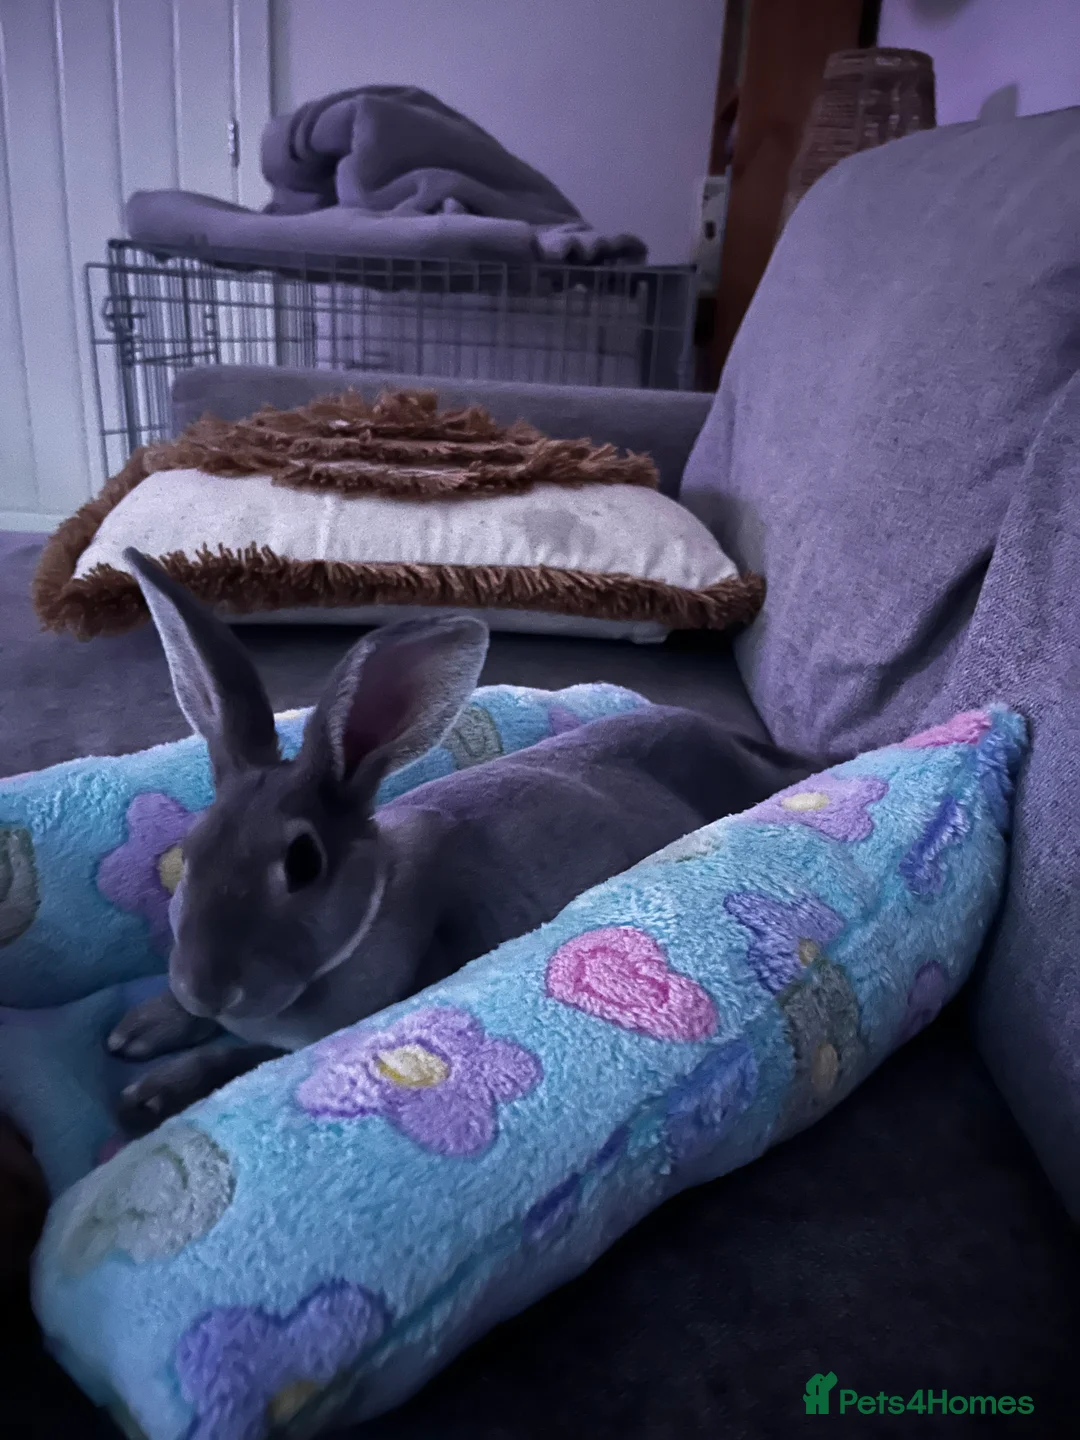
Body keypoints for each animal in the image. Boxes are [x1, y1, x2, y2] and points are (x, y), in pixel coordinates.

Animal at [107, 549, 810, 1135]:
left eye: (303, 864)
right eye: (191, 848)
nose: (205, 987)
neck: (373, 902)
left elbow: (244, 1058)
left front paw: (152, 1091)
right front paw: (140, 1027)